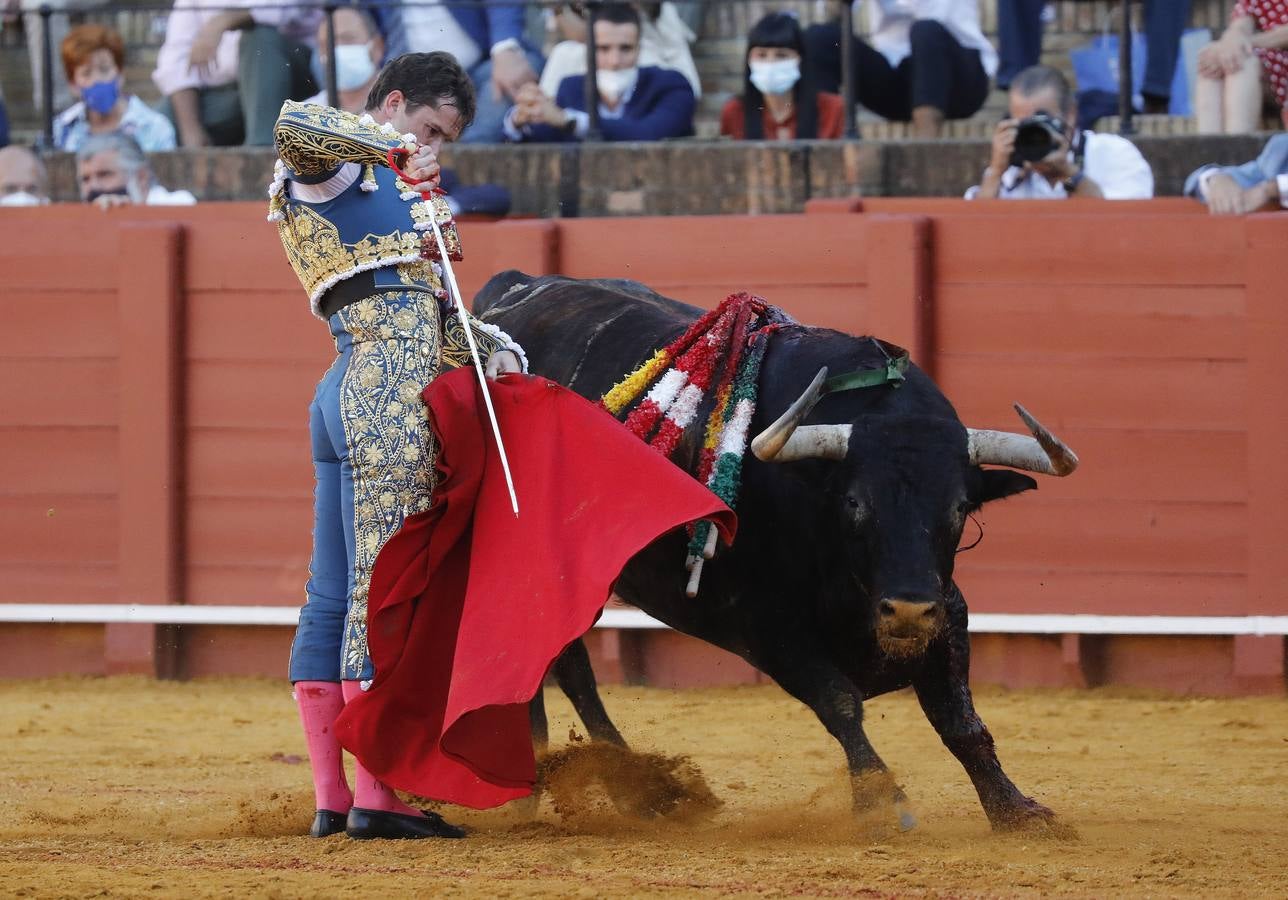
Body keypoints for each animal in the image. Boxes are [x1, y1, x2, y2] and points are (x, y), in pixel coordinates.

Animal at [476, 272, 1076, 829]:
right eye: (854, 502)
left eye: (959, 507)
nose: (906, 610)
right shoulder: (763, 625)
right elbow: (840, 701)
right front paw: (883, 802)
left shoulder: (945, 609)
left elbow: (962, 722)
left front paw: (1016, 810)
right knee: (555, 660)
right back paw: (586, 787)